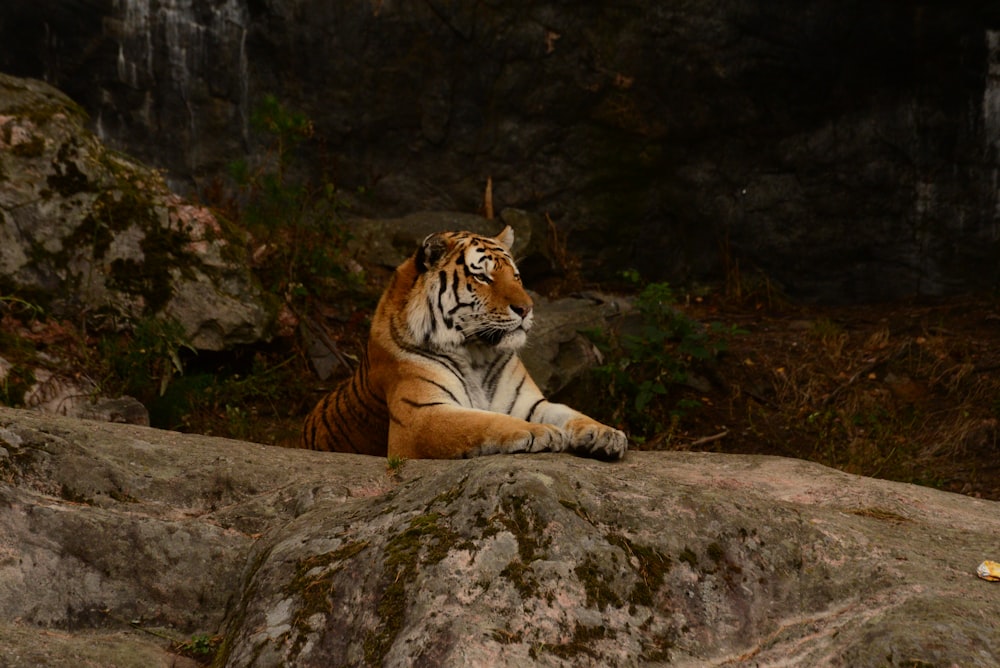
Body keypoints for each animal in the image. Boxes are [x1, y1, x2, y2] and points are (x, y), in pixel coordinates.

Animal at [298, 224, 624, 460]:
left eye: (516, 277)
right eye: (484, 278)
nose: (526, 308)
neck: (477, 353)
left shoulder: (529, 402)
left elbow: (570, 413)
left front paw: (606, 433)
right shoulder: (421, 416)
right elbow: (483, 422)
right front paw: (540, 432)